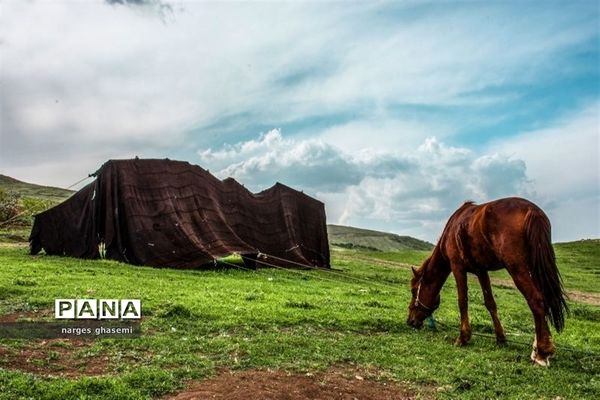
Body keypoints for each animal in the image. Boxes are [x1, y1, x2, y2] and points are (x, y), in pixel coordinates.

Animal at [408, 197, 568, 366]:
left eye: (413, 290)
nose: (410, 321)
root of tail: (533, 211)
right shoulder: (481, 271)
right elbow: (490, 303)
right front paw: (501, 338)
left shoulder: (457, 267)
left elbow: (462, 301)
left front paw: (463, 338)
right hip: (535, 268)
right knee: (543, 300)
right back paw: (537, 348)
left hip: (517, 268)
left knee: (536, 300)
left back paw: (542, 353)